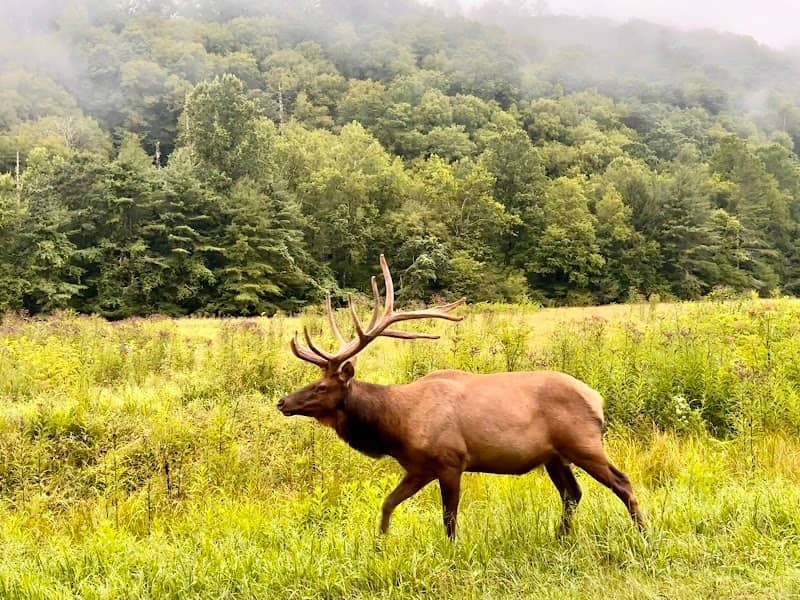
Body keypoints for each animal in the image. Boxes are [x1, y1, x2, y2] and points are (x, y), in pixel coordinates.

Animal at [277, 255, 645, 539]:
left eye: (322, 387)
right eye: (314, 380)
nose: (282, 402)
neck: (397, 426)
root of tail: (597, 399)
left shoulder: (451, 460)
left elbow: (449, 518)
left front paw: (451, 552)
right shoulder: (419, 467)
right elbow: (388, 503)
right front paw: (379, 544)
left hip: (583, 443)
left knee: (622, 482)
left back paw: (642, 535)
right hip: (554, 455)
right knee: (572, 493)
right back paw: (561, 536)